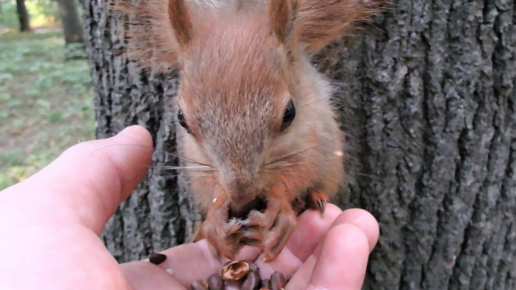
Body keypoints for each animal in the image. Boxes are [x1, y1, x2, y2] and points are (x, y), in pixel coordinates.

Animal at [112, 0, 378, 260]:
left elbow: (298, 173)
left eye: (290, 113)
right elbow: (212, 188)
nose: (240, 195)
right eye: (182, 119)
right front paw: (215, 219)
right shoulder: (197, 161)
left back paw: (315, 197)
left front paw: (279, 206)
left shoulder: (312, 139)